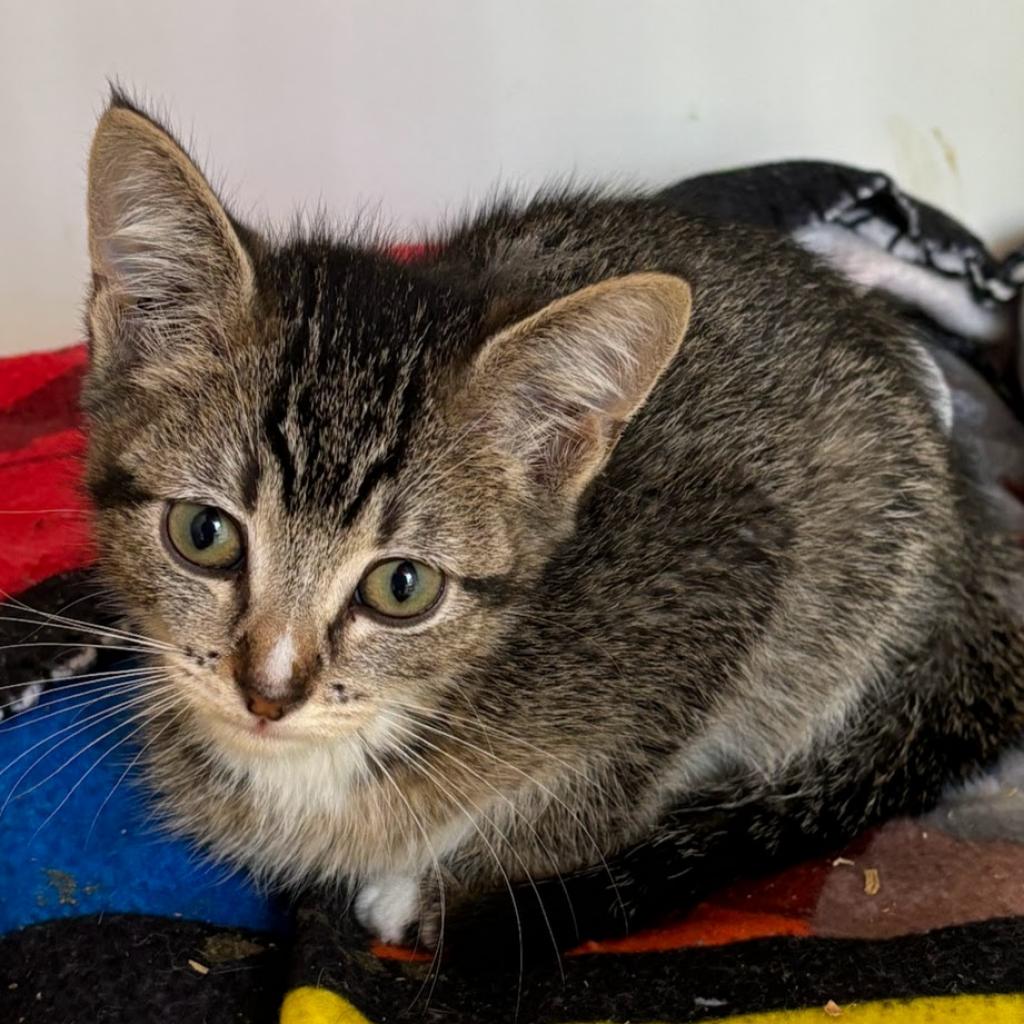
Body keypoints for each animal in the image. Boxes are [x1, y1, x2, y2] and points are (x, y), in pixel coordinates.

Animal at [79, 96, 1024, 958]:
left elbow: (597, 797)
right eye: (204, 533)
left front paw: (431, 886)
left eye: (402, 586)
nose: (268, 694)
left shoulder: (726, 570)